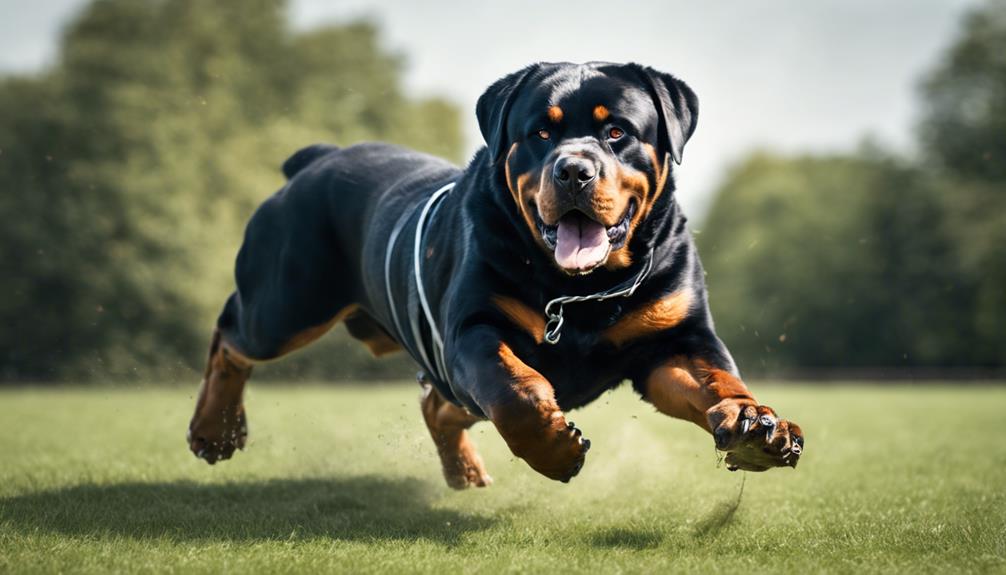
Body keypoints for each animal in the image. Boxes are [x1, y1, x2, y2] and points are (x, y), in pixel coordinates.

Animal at [187, 61, 800, 484]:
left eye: (618, 132)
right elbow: (515, 390)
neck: (583, 291)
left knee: (438, 403)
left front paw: (755, 425)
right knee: (230, 338)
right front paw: (554, 448)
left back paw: (465, 472)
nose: (573, 170)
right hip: (286, 303)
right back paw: (214, 432)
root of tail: (315, 158)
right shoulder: (474, 330)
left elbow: (717, 379)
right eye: (541, 133)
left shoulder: (675, 341)